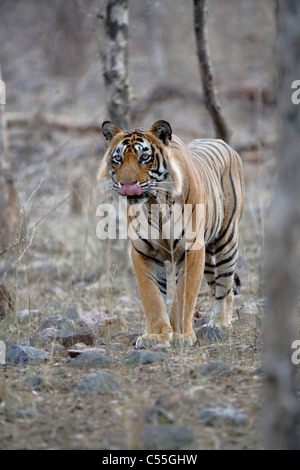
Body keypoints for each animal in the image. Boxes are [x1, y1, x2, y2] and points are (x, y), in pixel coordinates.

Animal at [97, 120, 245, 348]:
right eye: (118, 159)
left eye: (144, 157)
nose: (127, 185)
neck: (155, 204)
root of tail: (223, 143)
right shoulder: (143, 252)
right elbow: (153, 296)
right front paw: (155, 336)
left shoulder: (193, 249)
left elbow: (185, 293)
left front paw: (182, 335)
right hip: (208, 261)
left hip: (225, 244)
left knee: (225, 289)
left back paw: (219, 324)